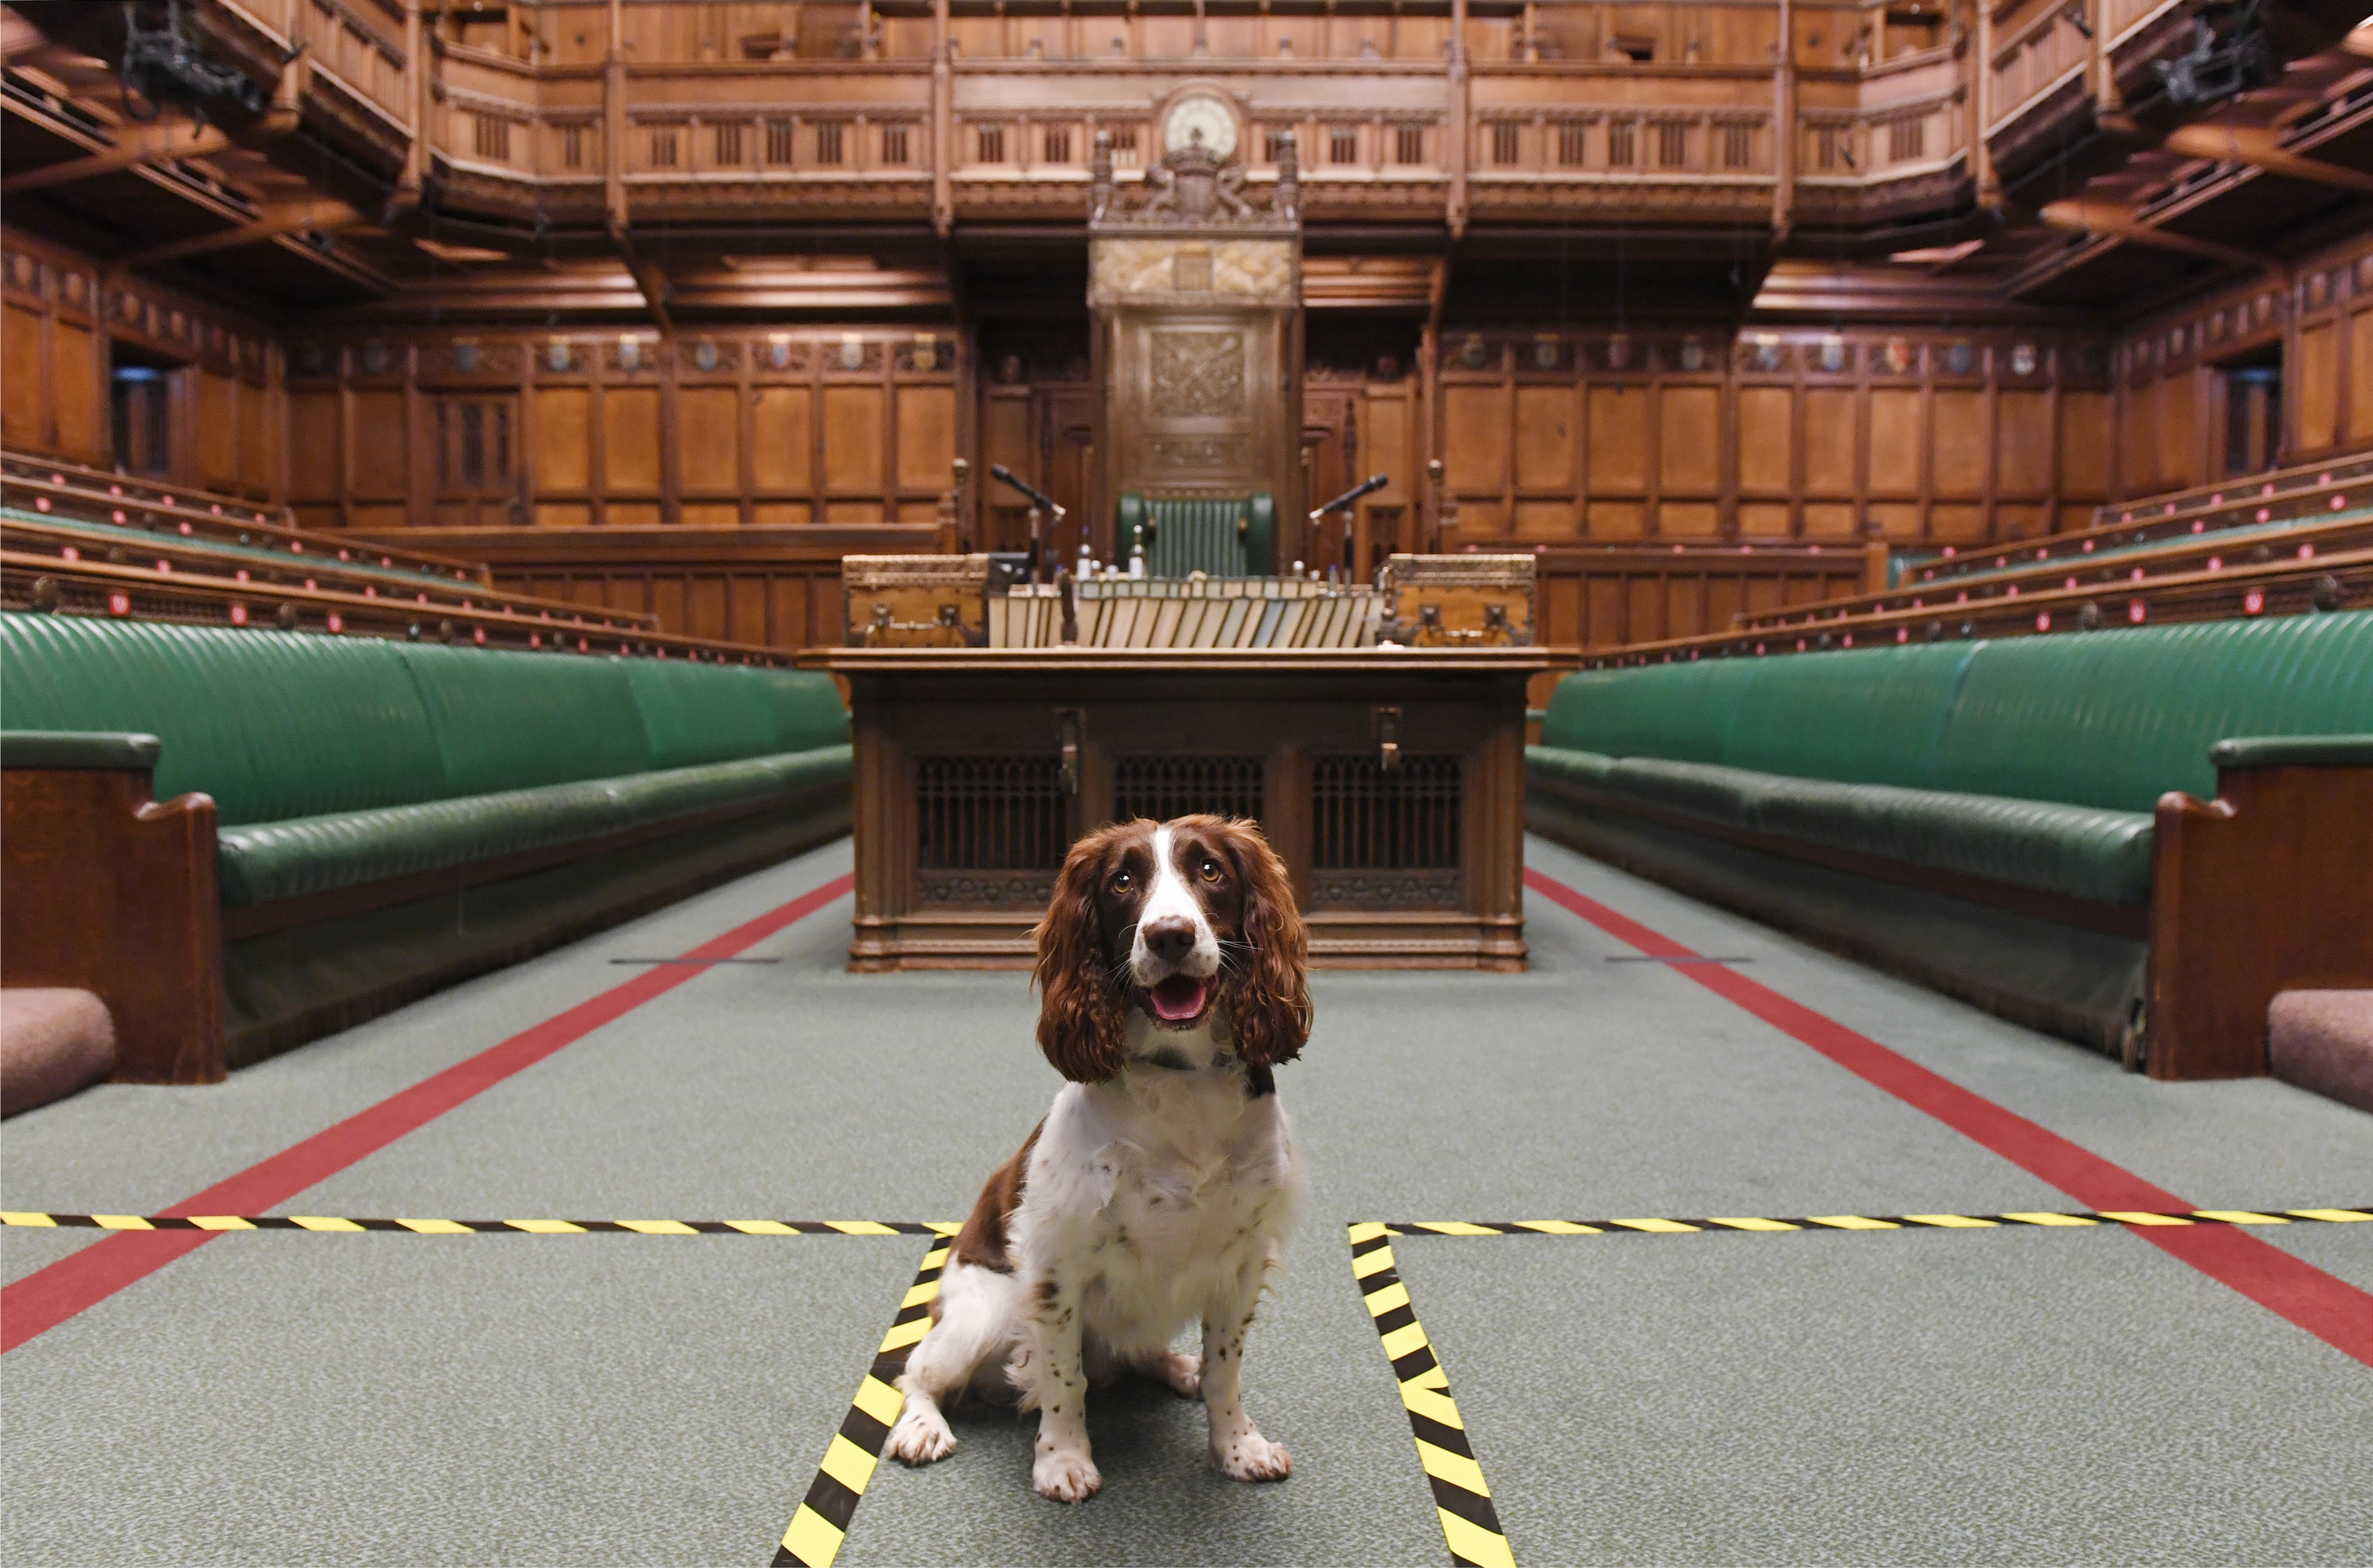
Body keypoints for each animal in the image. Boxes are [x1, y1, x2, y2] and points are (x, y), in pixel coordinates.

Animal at [887, 811, 1310, 1499]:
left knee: (1145, 1352)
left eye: (1210, 869)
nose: (1169, 936)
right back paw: (921, 1427)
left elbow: (1226, 1367)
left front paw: (1238, 1447)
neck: (1179, 1078)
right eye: (1122, 881)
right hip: (984, 1312)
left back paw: (1179, 1366)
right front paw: (1062, 1459)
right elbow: (1065, 1375)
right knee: (918, 1370)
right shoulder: (1058, 1266)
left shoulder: (1242, 1259)